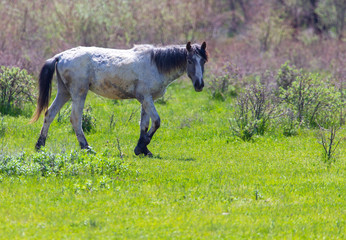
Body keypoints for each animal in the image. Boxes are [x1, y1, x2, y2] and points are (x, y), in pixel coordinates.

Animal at [31, 41, 208, 156]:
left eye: (204, 61)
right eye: (190, 60)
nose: (199, 85)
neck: (155, 65)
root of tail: (60, 56)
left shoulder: (145, 100)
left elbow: (144, 125)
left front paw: (142, 149)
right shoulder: (146, 98)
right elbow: (156, 121)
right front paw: (142, 146)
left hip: (64, 92)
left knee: (49, 114)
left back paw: (40, 146)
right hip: (78, 93)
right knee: (75, 119)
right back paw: (86, 147)